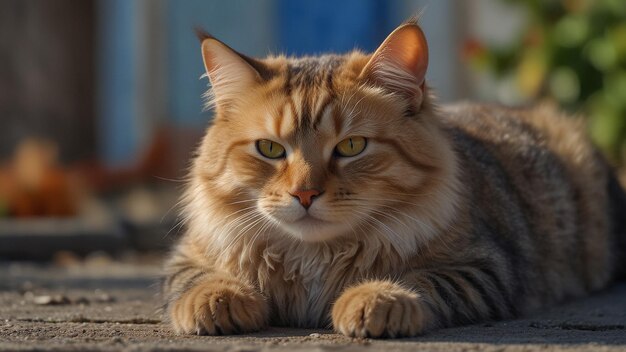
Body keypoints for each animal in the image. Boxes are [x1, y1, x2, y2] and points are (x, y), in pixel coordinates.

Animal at [162, 20, 624, 338]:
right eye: (270, 149)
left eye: (351, 146)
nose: (305, 193)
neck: (313, 256)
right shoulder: (189, 253)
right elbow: (195, 278)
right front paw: (217, 302)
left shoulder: (484, 267)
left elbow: (416, 278)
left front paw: (374, 300)